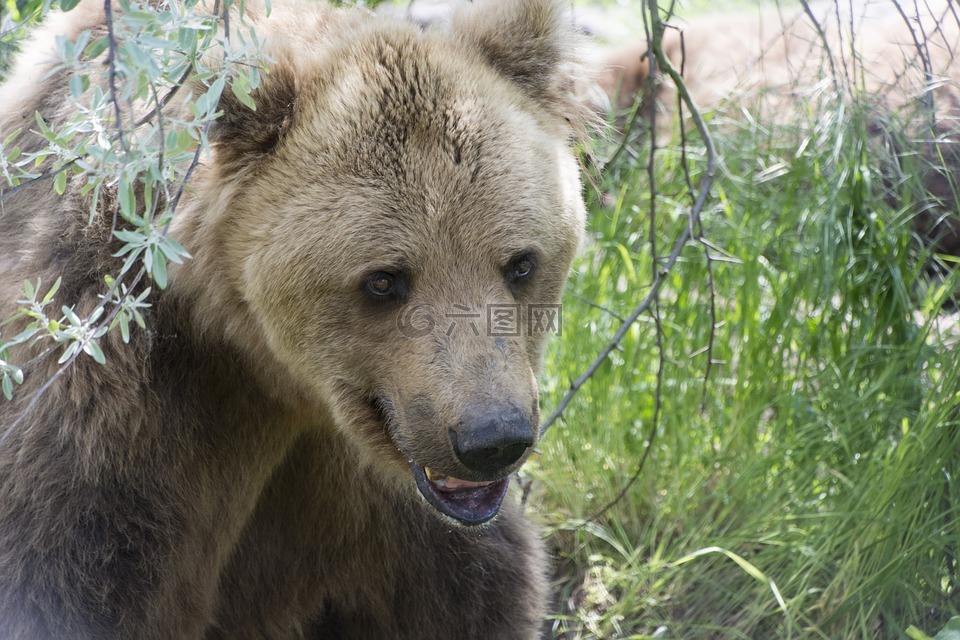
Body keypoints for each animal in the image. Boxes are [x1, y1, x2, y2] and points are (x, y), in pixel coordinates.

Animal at [0, 0, 587, 637]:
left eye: (520, 263)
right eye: (384, 279)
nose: (492, 437)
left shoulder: (388, 512)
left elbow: (475, 592)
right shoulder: (114, 410)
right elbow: (67, 574)